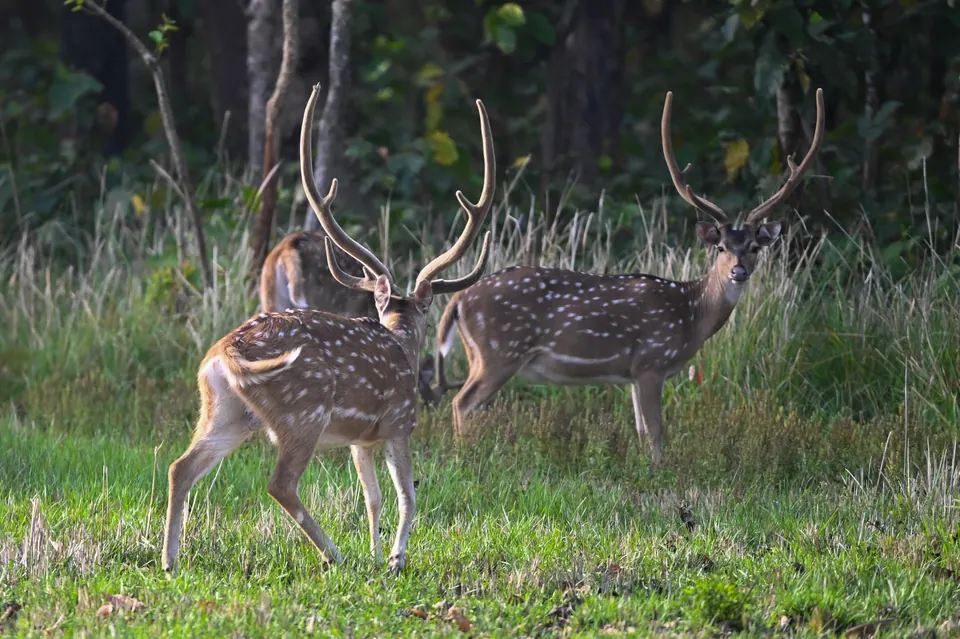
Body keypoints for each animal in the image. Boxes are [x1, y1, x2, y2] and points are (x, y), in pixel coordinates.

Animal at [430, 88, 825, 467]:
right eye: (721, 247)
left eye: (755, 247)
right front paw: (657, 474)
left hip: (482, 354)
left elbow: (640, 429)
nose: (738, 271)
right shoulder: (652, 361)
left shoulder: (633, 372)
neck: (691, 315)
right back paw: (466, 458)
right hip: (500, 351)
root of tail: (459, 299)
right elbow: (656, 429)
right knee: (462, 402)